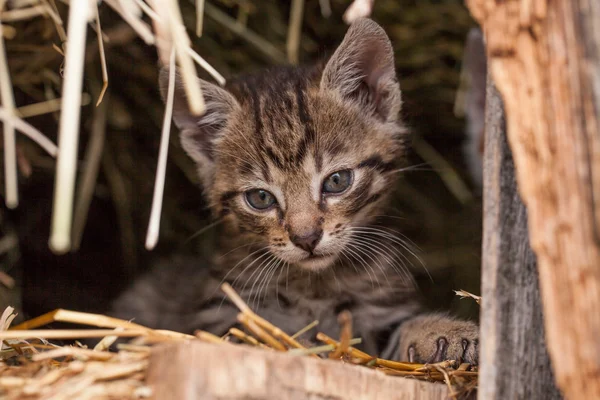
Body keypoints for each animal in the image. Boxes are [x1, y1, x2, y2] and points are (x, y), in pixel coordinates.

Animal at [111, 18, 478, 362]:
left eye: (337, 181)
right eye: (260, 198)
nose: (306, 239)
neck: (317, 285)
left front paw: (445, 333)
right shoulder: (218, 311)